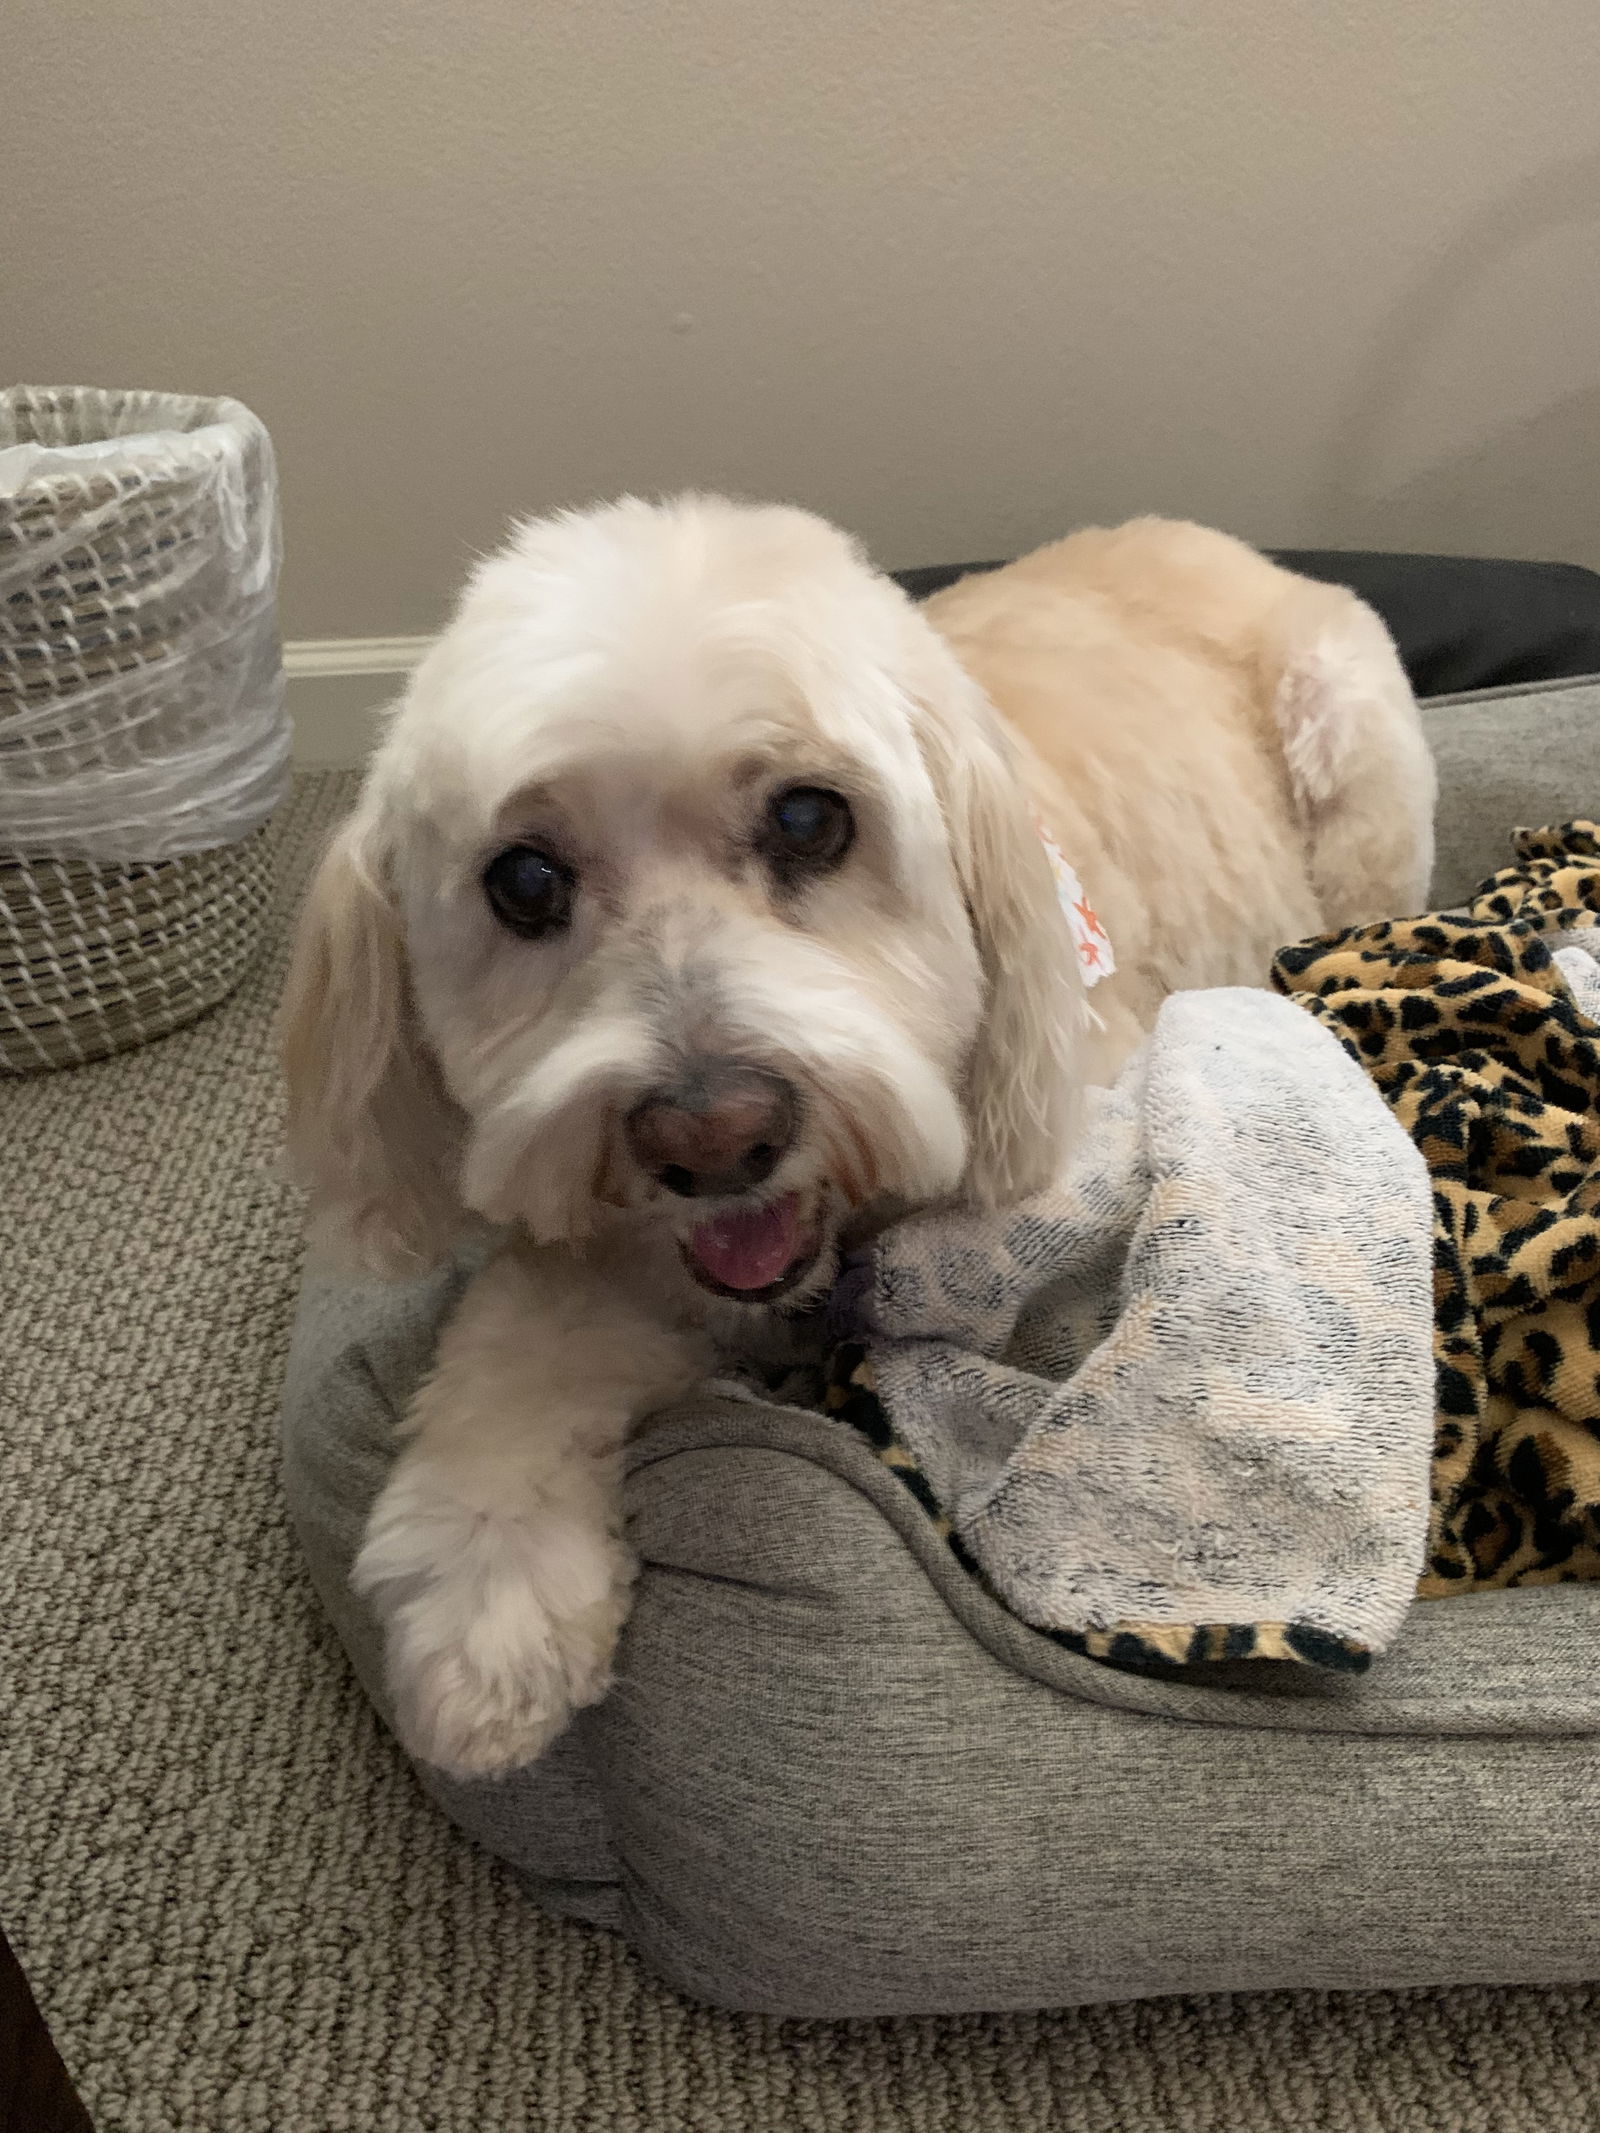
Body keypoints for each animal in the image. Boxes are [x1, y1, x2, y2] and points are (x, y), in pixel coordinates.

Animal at [279, 490, 1442, 1774]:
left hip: (1356, 760)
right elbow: (520, 1345)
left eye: (807, 818)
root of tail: (1191, 534)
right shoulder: (617, 1246)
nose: (712, 1138)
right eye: (524, 882)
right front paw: (489, 1604)